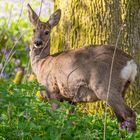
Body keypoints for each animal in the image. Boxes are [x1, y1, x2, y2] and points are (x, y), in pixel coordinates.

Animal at [27, 3, 138, 132]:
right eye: (34, 30)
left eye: (47, 32)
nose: (37, 42)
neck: (42, 63)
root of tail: (131, 63)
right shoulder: (70, 99)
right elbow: (70, 119)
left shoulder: (52, 90)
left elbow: (55, 116)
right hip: (123, 88)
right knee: (122, 119)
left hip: (106, 85)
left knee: (129, 114)